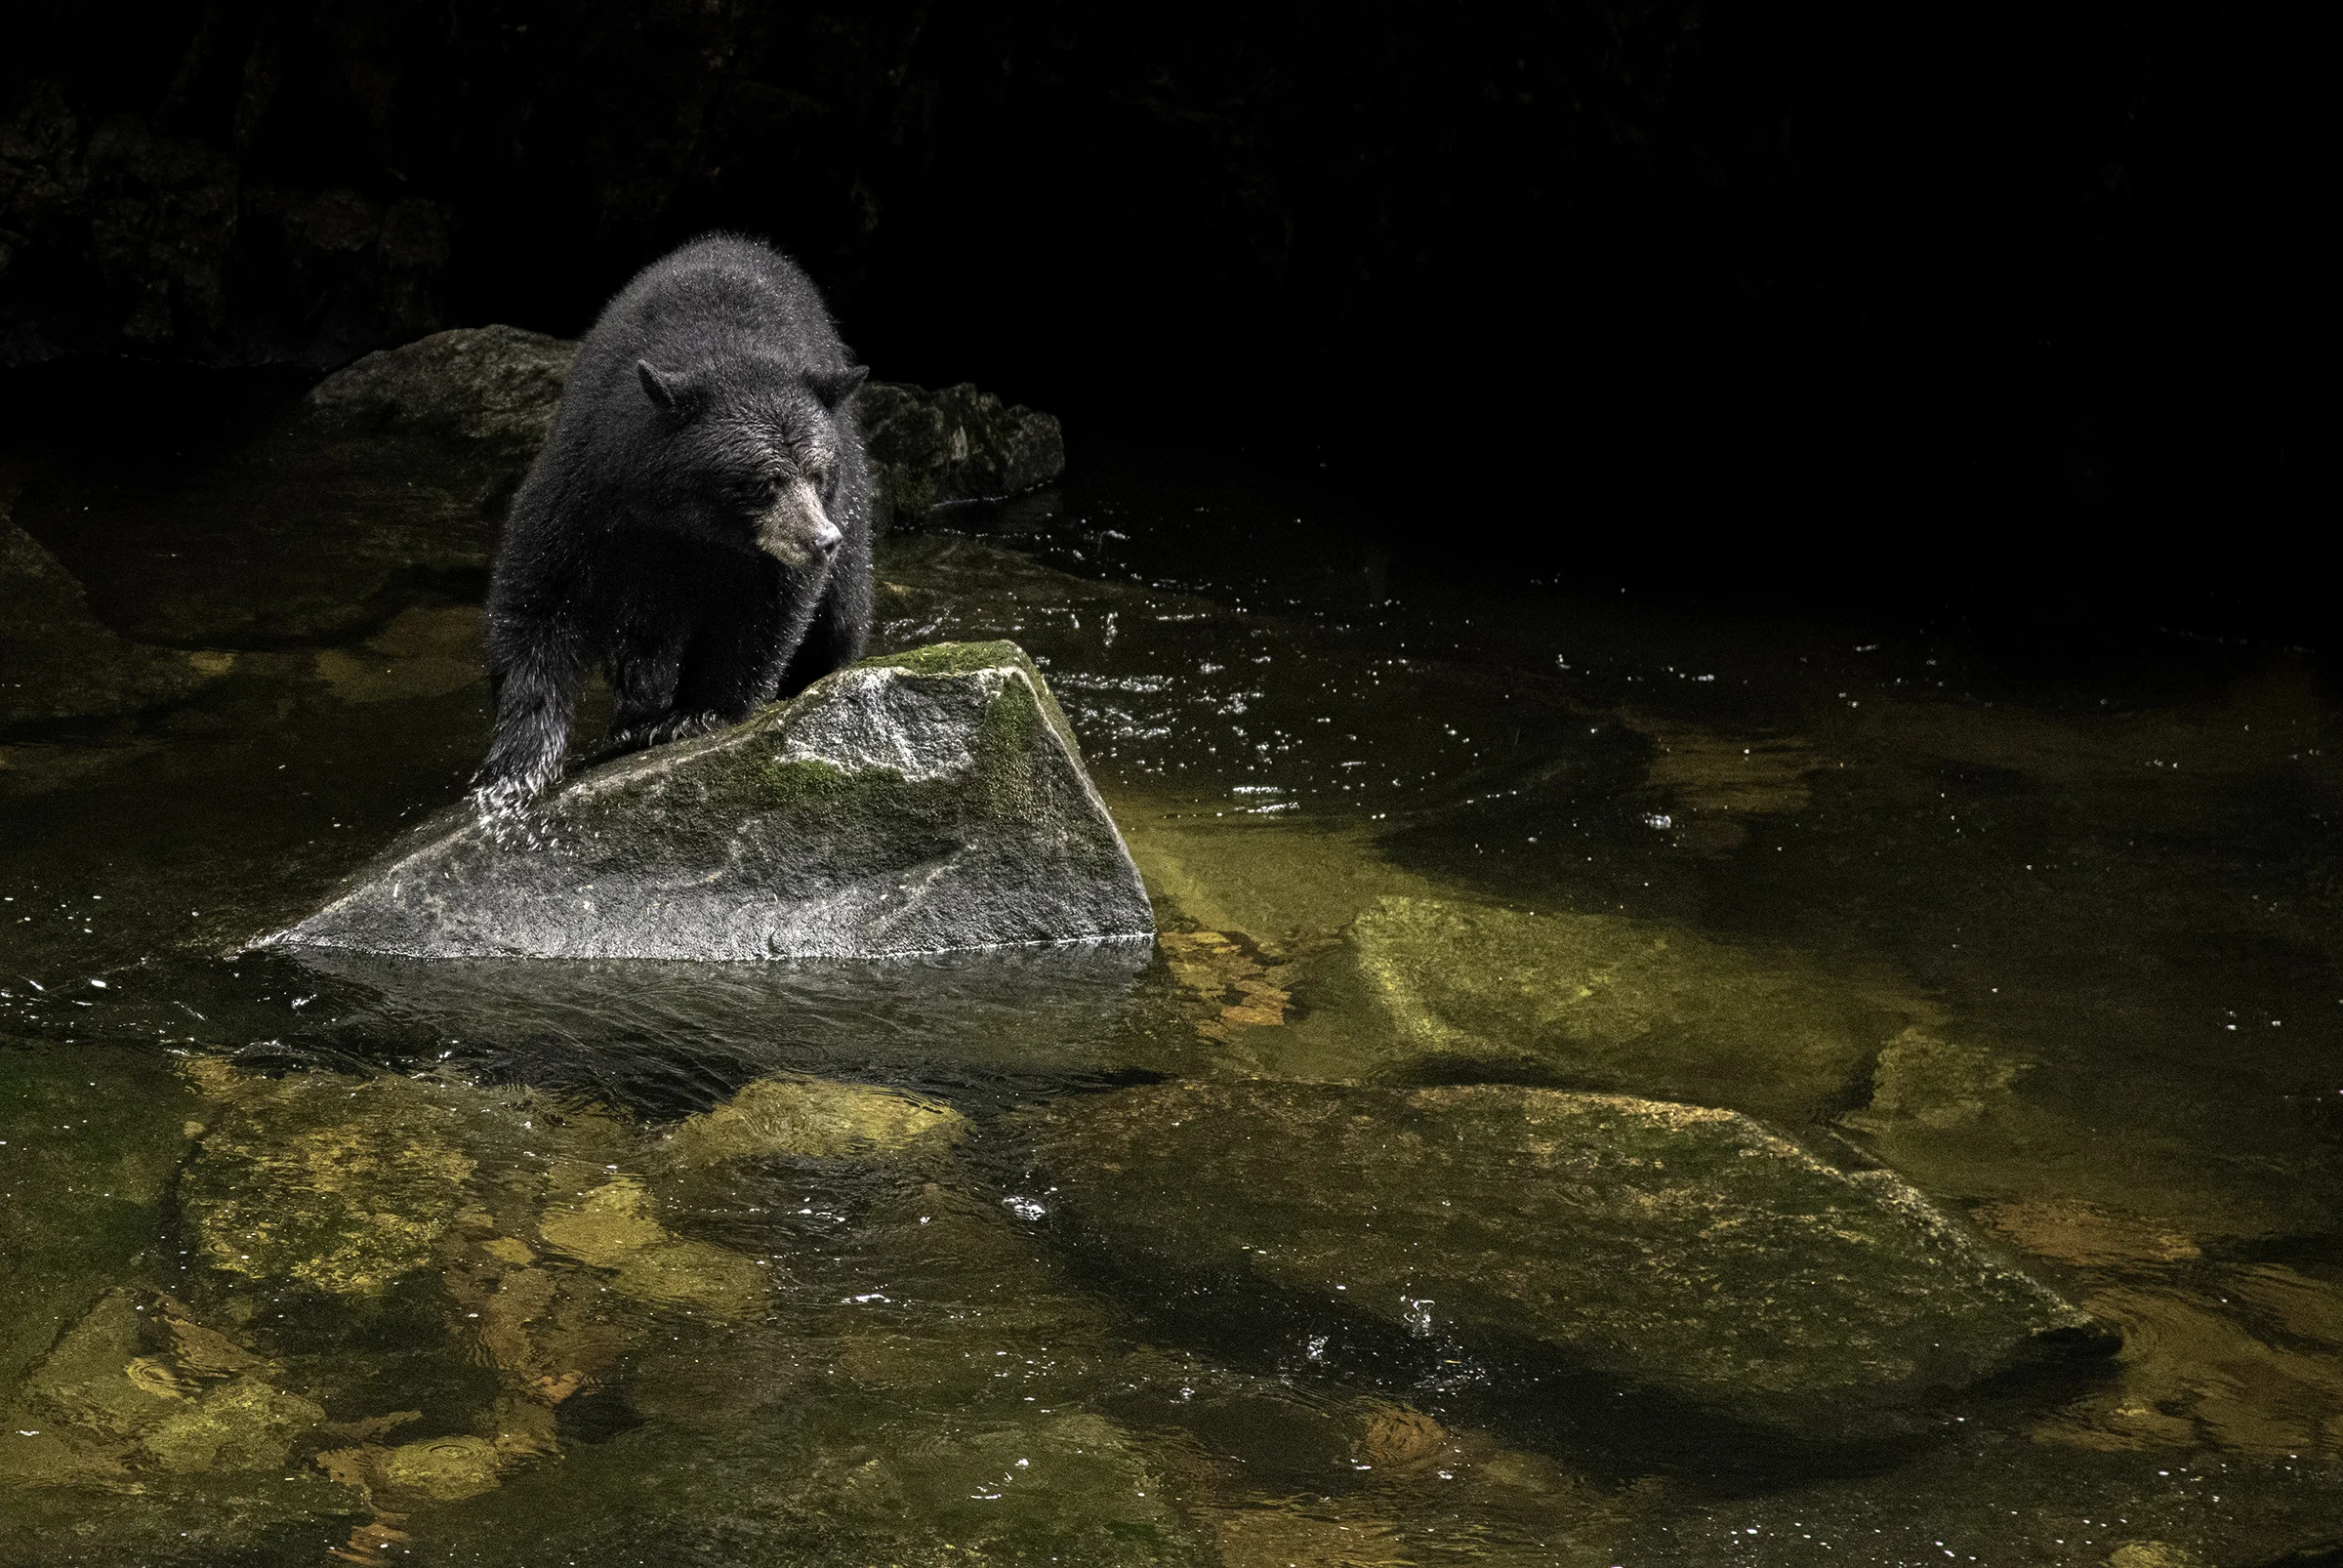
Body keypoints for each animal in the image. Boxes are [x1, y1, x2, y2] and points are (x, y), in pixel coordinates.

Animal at [474, 233, 873, 808]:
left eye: (818, 476)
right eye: (763, 483)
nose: (822, 541)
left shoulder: (778, 550)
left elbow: (767, 615)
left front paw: (697, 713)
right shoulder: (583, 490)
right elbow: (536, 598)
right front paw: (519, 764)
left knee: (840, 619)